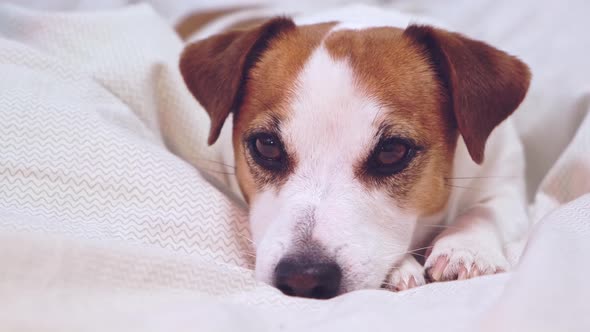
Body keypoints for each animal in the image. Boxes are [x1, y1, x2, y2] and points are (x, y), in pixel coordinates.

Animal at [177, 3, 532, 300]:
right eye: (267, 145)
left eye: (392, 151)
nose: (304, 278)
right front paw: (401, 267)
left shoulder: (506, 180)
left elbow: (486, 210)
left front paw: (465, 248)